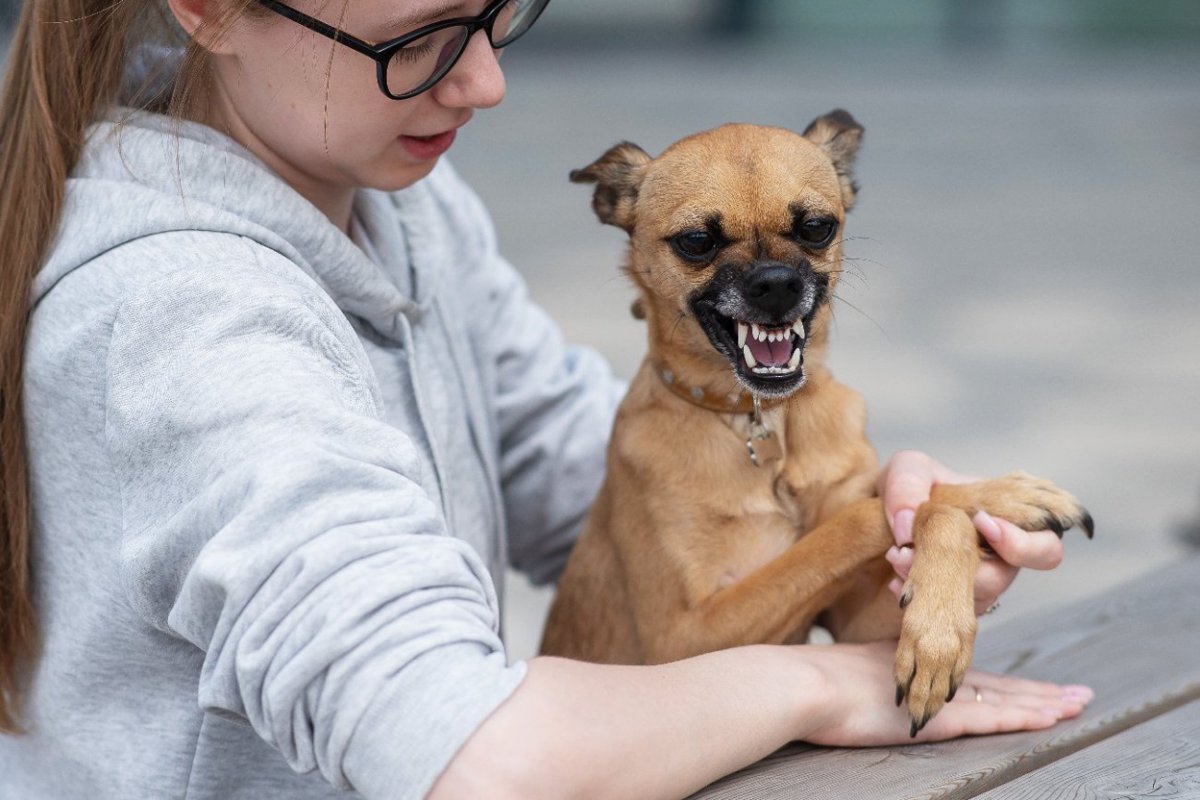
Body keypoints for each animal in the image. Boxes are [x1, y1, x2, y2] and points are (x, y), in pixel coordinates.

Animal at [540, 109, 1094, 734]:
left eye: (816, 228)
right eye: (697, 242)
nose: (776, 283)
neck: (762, 425)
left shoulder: (855, 618)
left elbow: (917, 510)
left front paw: (940, 626)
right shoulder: (683, 637)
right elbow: (870, 517)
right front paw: (972, 512)